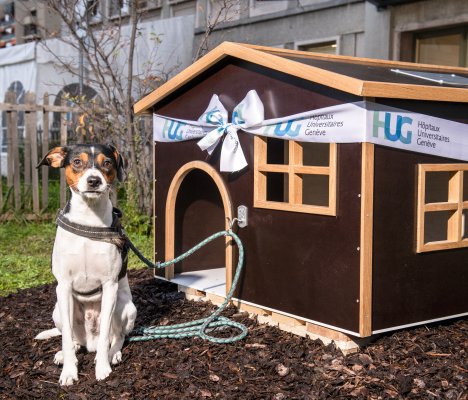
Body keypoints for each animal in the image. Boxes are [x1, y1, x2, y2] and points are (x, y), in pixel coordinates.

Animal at [35, 143, 137, 384]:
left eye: (107, 163)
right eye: (77, 162)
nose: (94, 181)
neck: (89, 220)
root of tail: (88, 341)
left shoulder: (110, 285)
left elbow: (107, 335)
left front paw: (102, 367)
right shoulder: (63, 286)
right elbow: (66, 338)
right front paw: (69, 372)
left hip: (125, 307)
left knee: (116, 337)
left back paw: (111, 354)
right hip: (57, 309)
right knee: (71, 337)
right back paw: (65, 353)